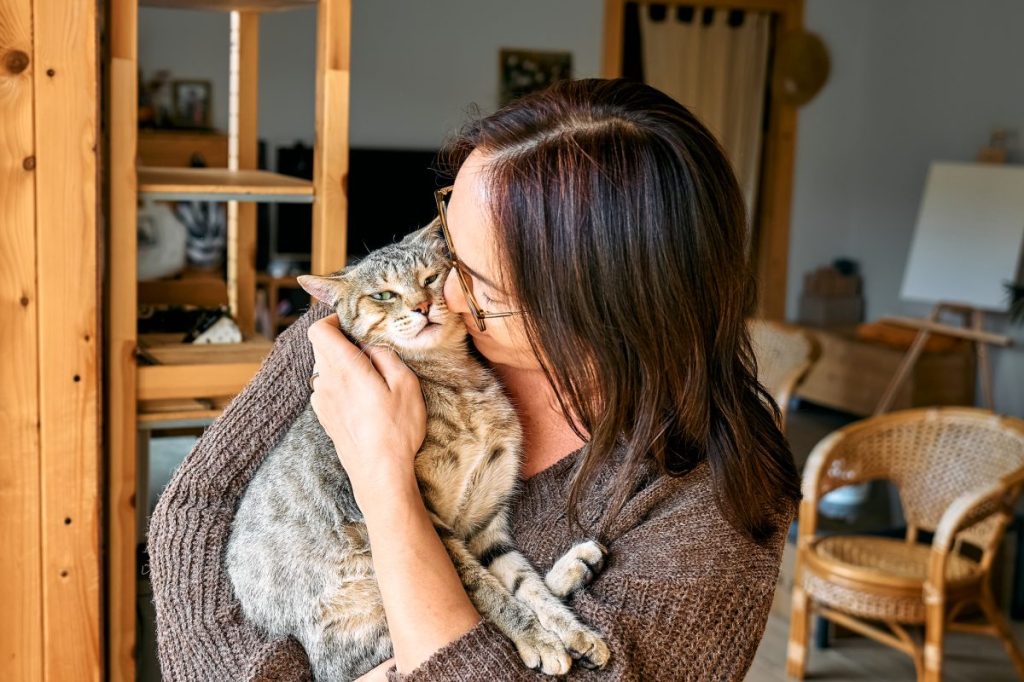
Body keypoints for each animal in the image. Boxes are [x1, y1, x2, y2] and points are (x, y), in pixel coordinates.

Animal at [226, 222, 606, 675]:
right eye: (383, 295)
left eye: (430, 278)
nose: (423, 306)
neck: (456, 382)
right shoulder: (435, 526)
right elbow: (490, 593)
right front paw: (537, 638)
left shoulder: (487, 520)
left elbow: (522, 583)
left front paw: (572, 631)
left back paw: (575, 569)